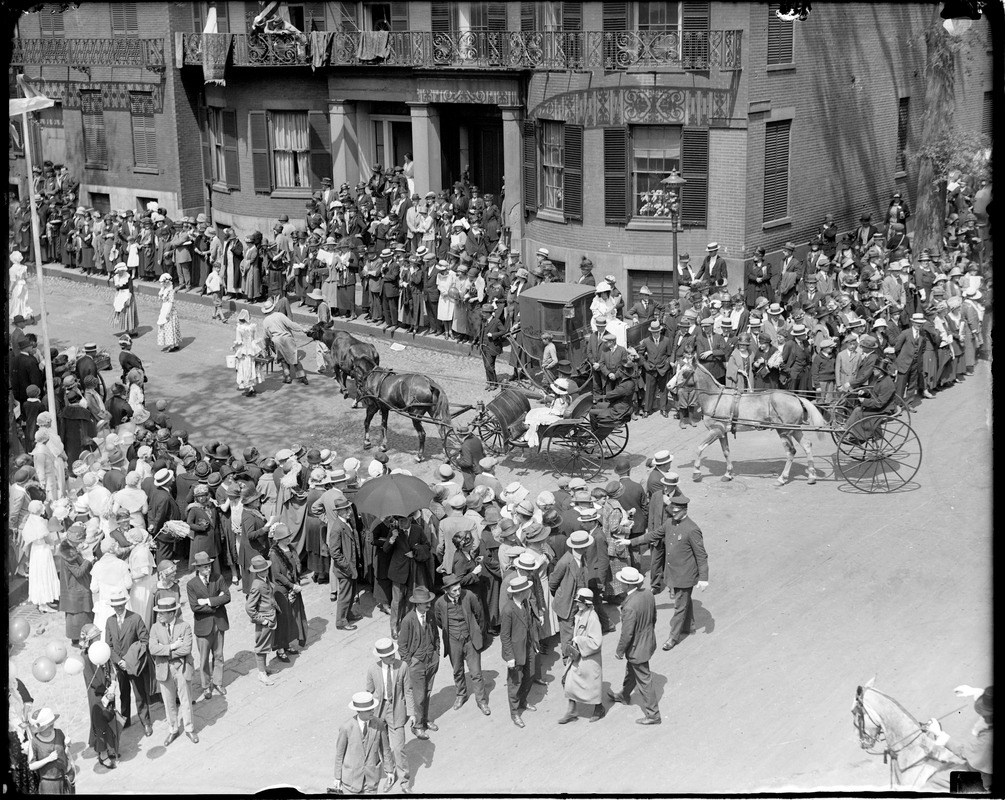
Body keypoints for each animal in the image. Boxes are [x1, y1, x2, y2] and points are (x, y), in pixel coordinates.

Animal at [671, 359, 828, 484]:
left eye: (685, 372)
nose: (669, 386)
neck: (715, 398)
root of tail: (796, 397)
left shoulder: (715, 430)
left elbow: (699, 448)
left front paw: (696, 472)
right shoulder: (722, 433)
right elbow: (726, 452)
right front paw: (728, 474)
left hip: (783, 430)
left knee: (791, 452)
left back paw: (782, 478)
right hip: (794, 429)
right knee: (807, 445)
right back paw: (811, 476)